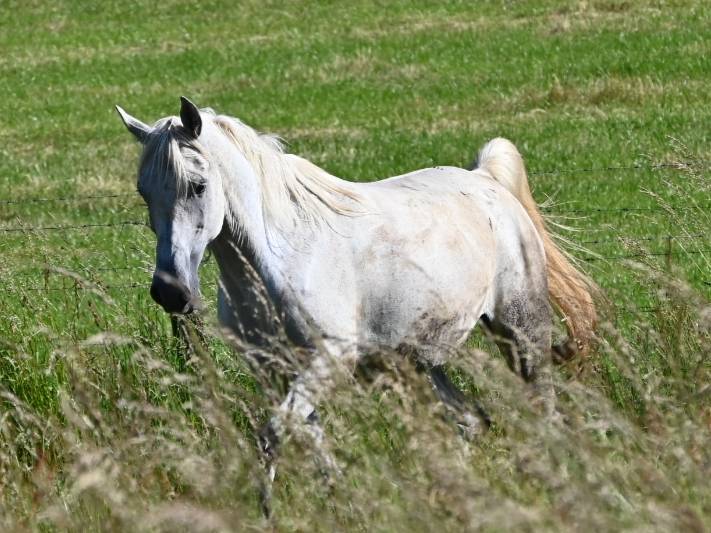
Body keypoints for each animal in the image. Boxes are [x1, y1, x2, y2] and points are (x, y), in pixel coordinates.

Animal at [116, 96, 596, 465]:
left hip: (522, 332)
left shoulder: (328, 360)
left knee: (542, 409)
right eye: (144, 191)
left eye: (197, 186)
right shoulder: (275, 370)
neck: (285, 260)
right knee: (472, 419)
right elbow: (306, 445)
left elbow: (272, 436)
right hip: (422, 362)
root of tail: (483, 178)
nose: (170, 292)